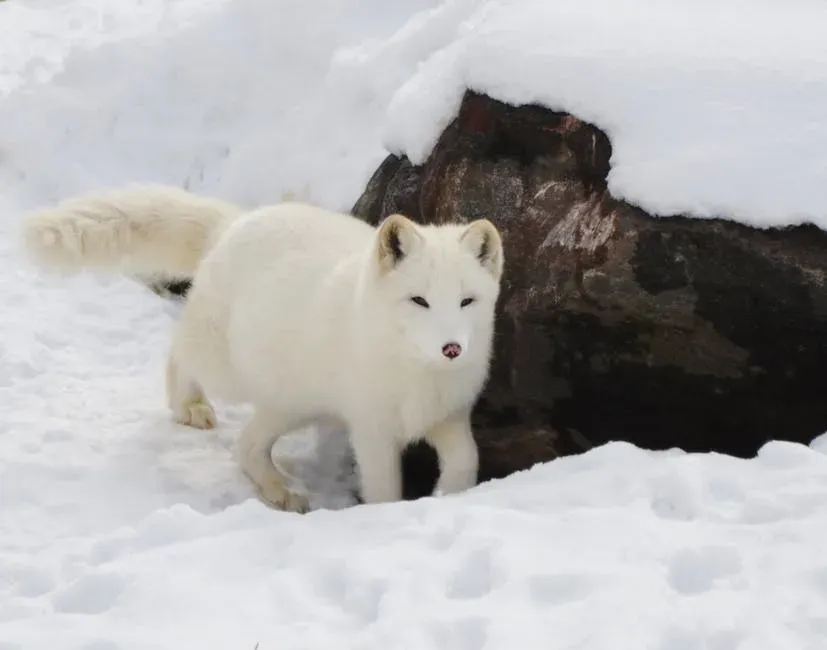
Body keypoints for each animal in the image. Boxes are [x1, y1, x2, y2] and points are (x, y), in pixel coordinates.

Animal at [21, 184, 505, 512]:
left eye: (467, 301)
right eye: (419, 300)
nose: (452, 348)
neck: (417, 374)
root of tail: (235, 223)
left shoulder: (449, 416)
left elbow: (467, 460)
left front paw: (450, 496)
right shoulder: (372, 429)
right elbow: (384, 490)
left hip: (291, 403)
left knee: (247, 447)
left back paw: (279, 492)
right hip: (231, 372)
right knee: (180, 353)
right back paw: (189, 406)